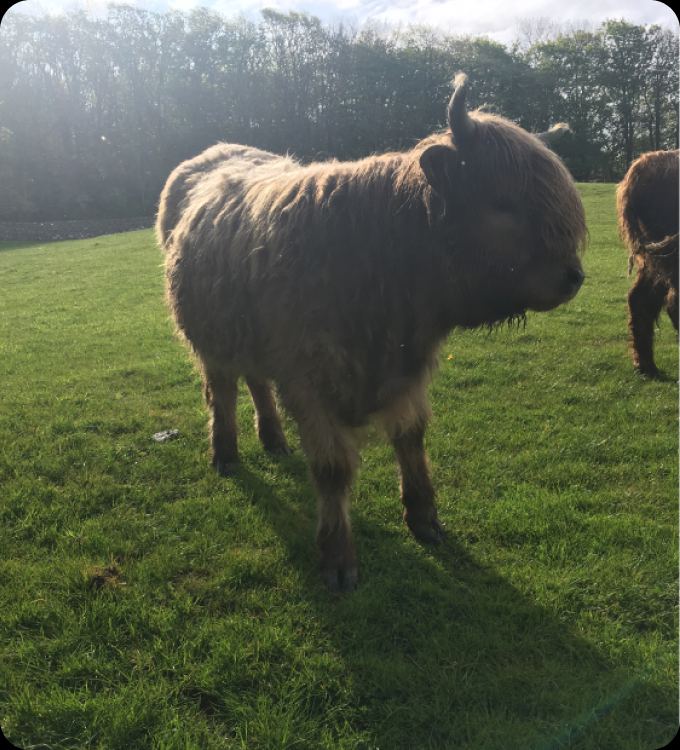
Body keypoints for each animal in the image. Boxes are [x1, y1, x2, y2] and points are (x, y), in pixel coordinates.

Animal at [156, 74, 586, 591]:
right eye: (503, 204)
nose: (573, 276)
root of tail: (215, 153)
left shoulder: (408, 369)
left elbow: (412, 439)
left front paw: (424, 518)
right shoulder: (308, 378)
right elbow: (332, 468)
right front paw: (338, 557)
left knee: (257, 381)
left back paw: (274, 439)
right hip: (210, 339)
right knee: (221, 392)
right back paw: (225, 453)